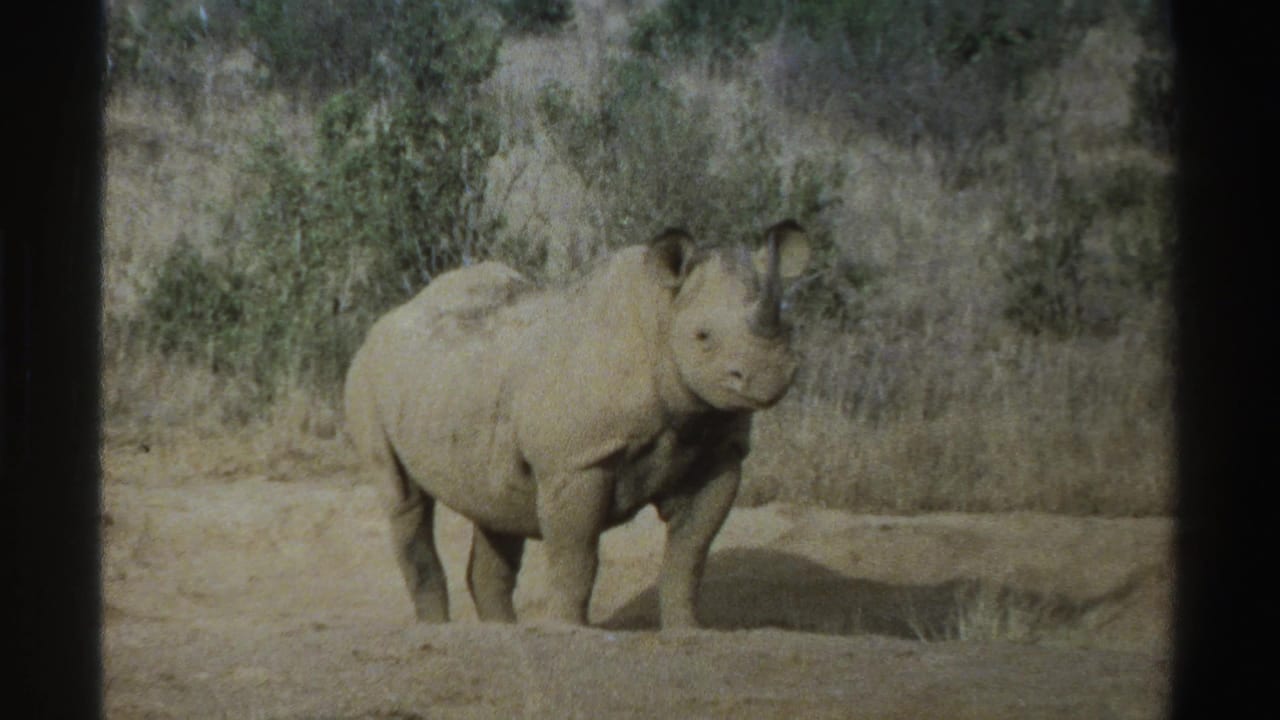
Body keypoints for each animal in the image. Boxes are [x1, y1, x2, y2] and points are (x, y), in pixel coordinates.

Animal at [343, 220, 810, 628]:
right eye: (702, 336)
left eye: (788, 327)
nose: (768, 374)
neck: (661, 317)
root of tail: (389, 318)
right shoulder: (576, 461)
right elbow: (576, 554)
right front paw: (569, 629)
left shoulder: (719, 451)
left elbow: (690, 554)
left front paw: (688, 630)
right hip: (367, 375)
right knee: (405, 499)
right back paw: (438, 628)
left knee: (494, 507)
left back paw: (501, 632)